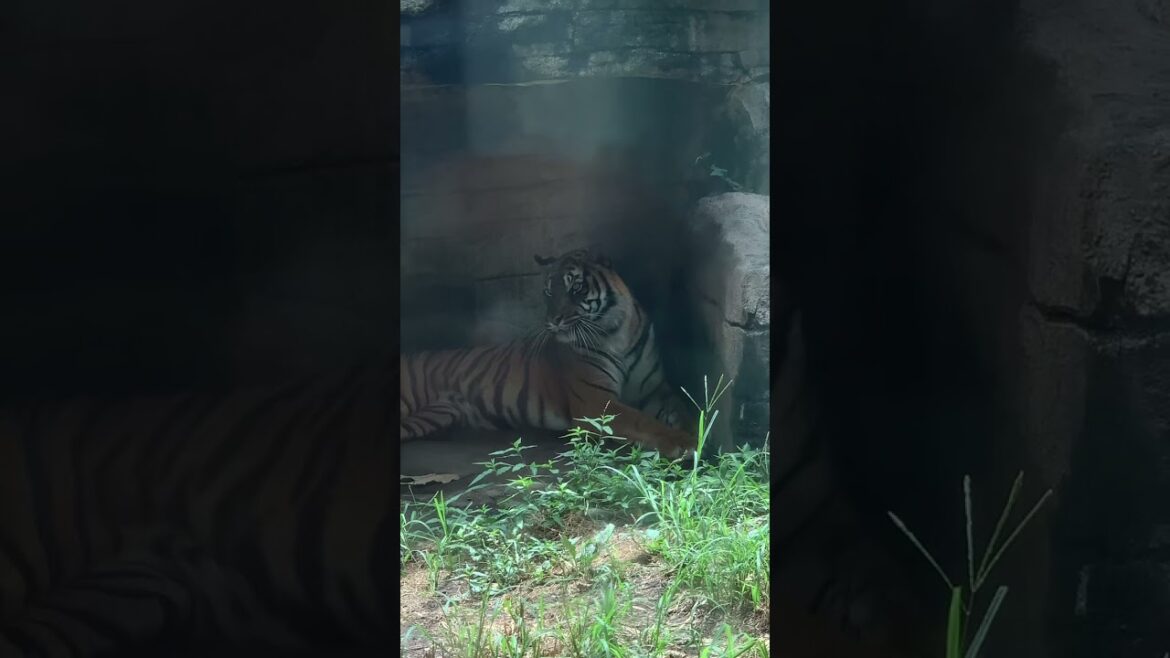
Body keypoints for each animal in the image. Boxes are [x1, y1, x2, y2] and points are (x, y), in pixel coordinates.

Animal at [399, 248, 696, 459]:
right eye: (548, 291)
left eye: (576, 288)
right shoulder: (595, 402)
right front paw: (685, 443)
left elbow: (682, 407)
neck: (616, 332)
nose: (553, 321)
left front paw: (697, 429)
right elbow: (643, 421)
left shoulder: (655, 390)